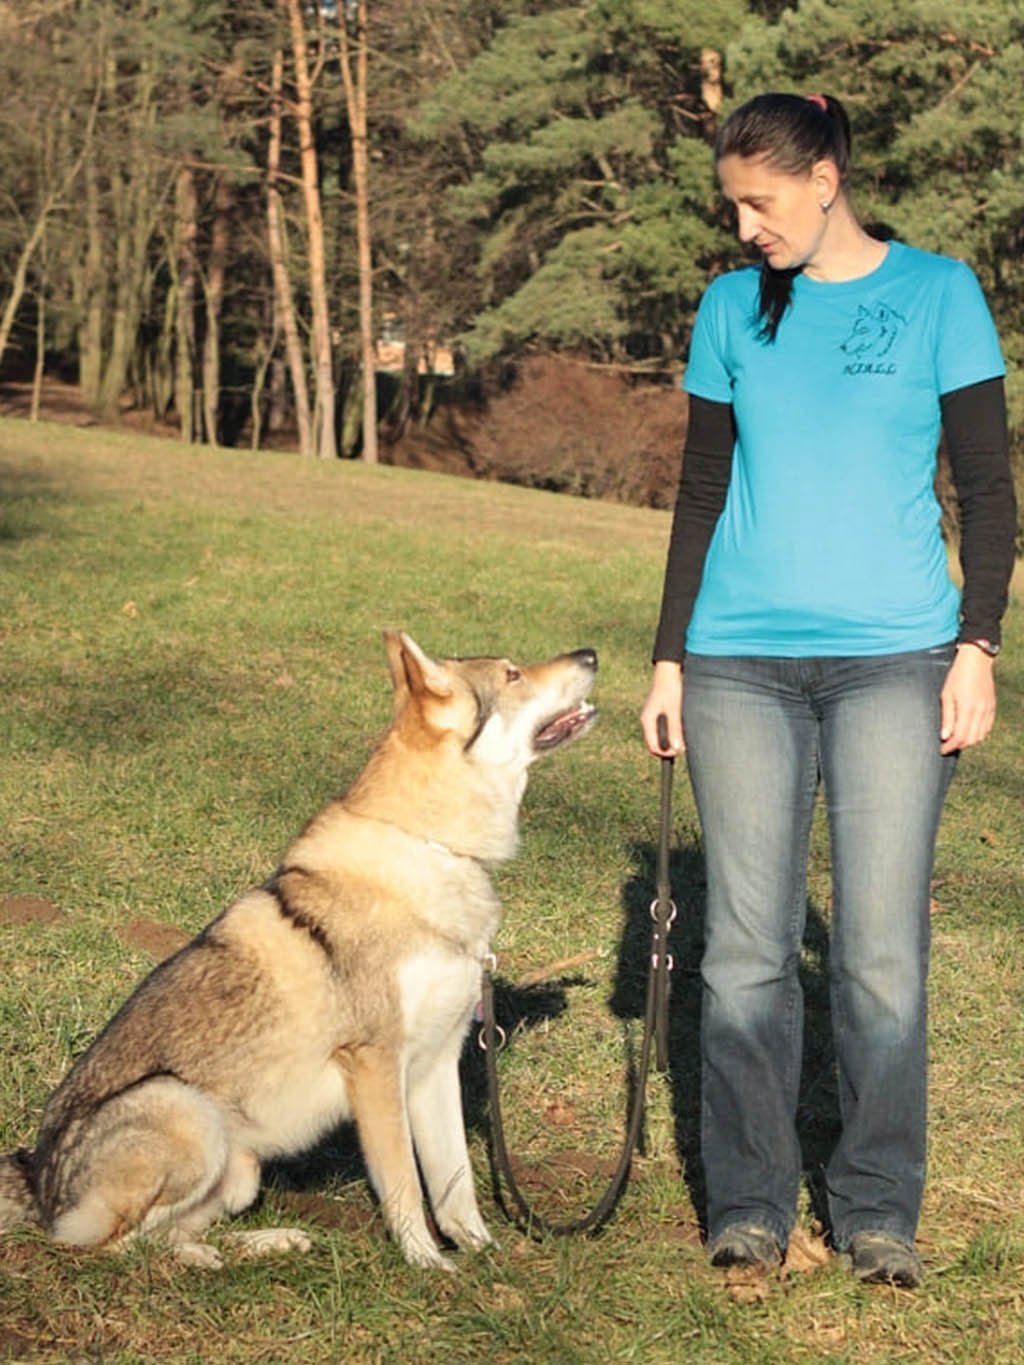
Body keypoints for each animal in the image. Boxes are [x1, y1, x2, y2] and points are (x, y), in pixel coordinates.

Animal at [0, 630, 598, 1266]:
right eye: (513, 674)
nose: (590, 654)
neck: (434, 849)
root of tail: (36, 1178)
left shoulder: (437, 1063)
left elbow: (454, 1183)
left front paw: (485, 1256)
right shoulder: (376, 1064)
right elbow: (406, 1185)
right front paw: (428, 1264)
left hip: (239, 1173)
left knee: (178, 1230)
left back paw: (267, 1241)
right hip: (186, 1111)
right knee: (112, 1244)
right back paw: (199, 1260)